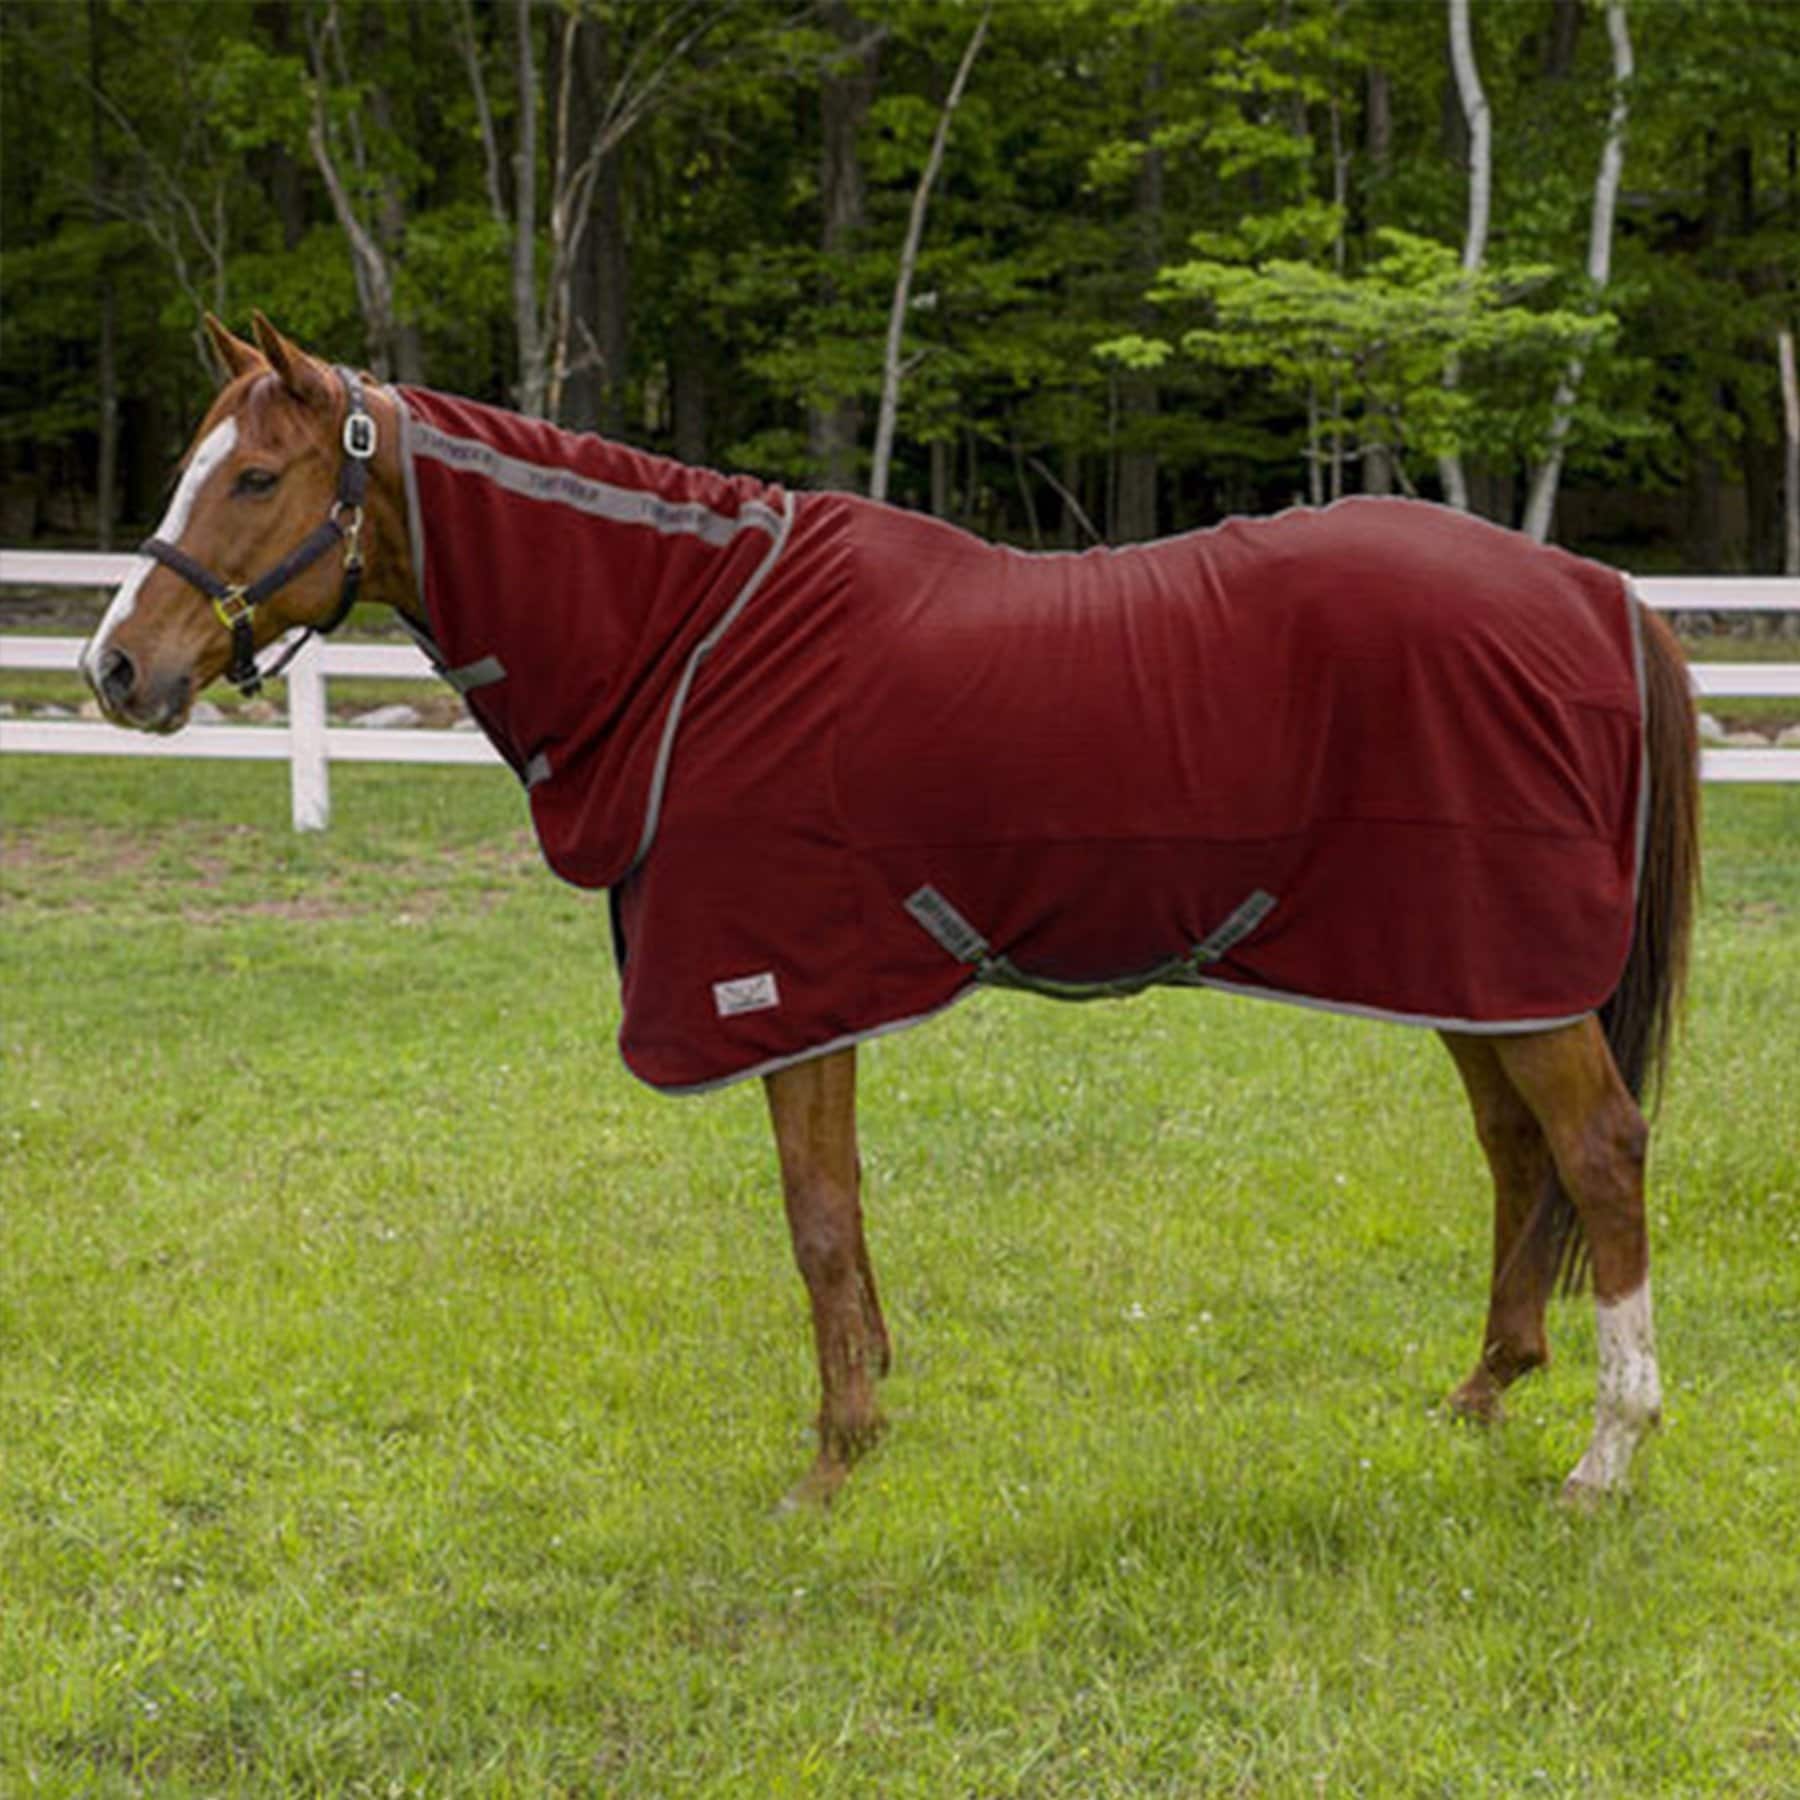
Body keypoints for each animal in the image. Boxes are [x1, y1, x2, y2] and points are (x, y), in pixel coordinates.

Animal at [82, 313, 1699, 1510]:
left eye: (253, 480)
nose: (116, 669)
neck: (690, 642)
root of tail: (1592, 587)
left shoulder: (778, 988)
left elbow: (813, 1221)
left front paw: (830, 1462)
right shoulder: (814, 995)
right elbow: (842, 1218)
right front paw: (866, 1423)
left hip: (1511, 967)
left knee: (1600, 1153)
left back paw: (1609, 1455)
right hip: (1467, 964)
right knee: (1516, 1152)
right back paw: (1483, 1392)